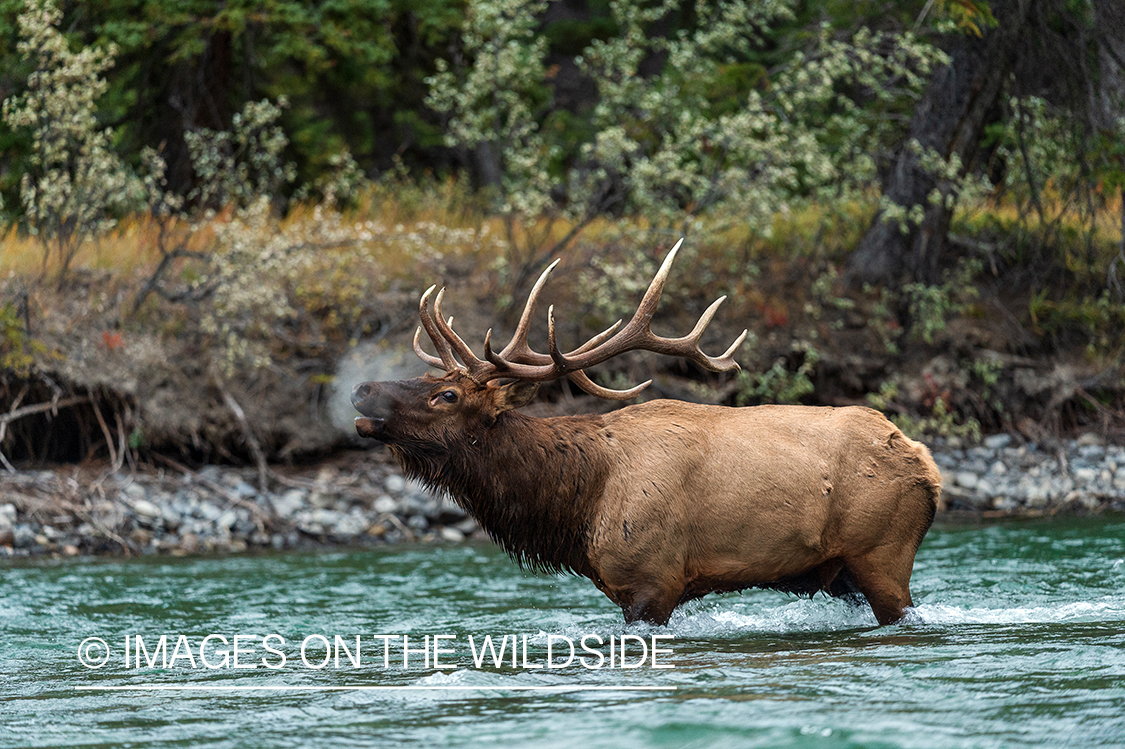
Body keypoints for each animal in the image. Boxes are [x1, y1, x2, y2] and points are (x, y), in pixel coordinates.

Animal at [351, 240, 940, 625]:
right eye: (430, 378)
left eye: (448, 395)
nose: (359, 391)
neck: (577, 504)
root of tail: (925, 462)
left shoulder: (652, 582)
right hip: (841, 572)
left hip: (882, 552)